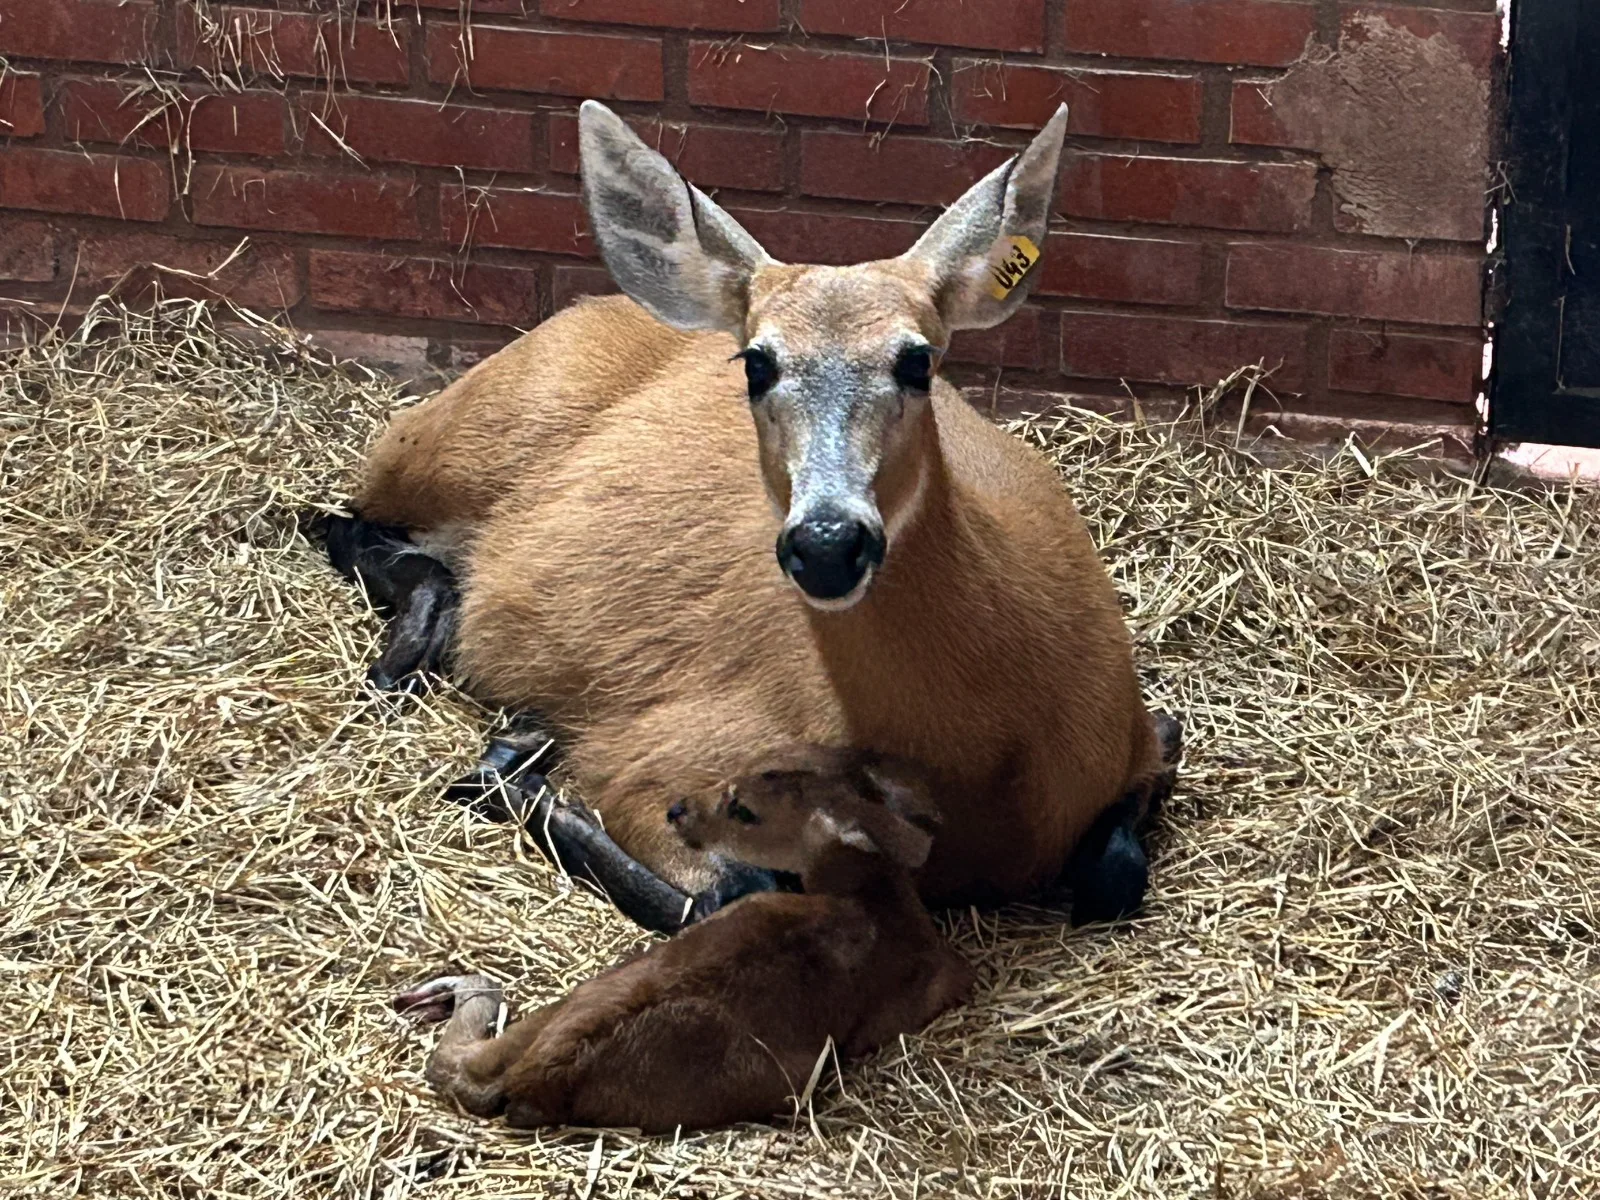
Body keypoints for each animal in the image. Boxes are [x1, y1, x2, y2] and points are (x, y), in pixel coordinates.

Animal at [321, 101, 1177, 928]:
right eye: (757, 362)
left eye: (917, 360)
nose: (827, 542)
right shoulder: (656, 755)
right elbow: (730, 891)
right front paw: (515, 769)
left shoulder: (1142, 738)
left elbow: (1117, 870)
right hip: (454, 442)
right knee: (341, 517)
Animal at [398, 752, 972, 1139]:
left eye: (745, 809)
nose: (677, 809)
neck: (873, 898)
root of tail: (539, 1071)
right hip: (782, 1077)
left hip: (594, 987)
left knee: (462, 1055)